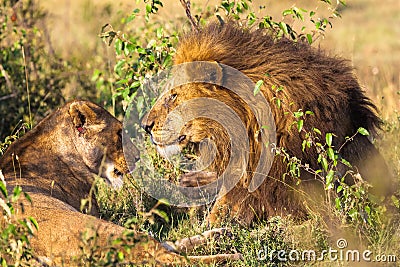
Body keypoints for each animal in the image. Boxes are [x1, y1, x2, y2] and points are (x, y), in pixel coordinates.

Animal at [0, 100, 239, 266]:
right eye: (117, 133)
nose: (137, 158)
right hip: (100, 229)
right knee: (167, 257)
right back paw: (230, 256)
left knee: (163, 245)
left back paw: (220, 234)